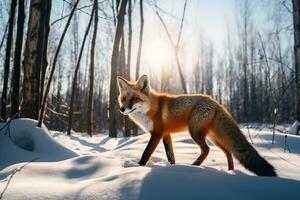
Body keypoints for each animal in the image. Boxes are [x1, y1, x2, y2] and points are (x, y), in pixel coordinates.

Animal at [116, 74, 276, 176]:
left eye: (135, 99)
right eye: (124, 99)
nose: (122, 109)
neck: (151, 109)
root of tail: (215, 101)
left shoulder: (157, 133)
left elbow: (146, 152)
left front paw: (138, 167)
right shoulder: (166, 134)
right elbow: (170, 155)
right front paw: (172, 168)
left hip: (195, 133)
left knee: (206, 150)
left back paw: (195, 166)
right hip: (213, 137)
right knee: (228, 151)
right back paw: (230, 171)